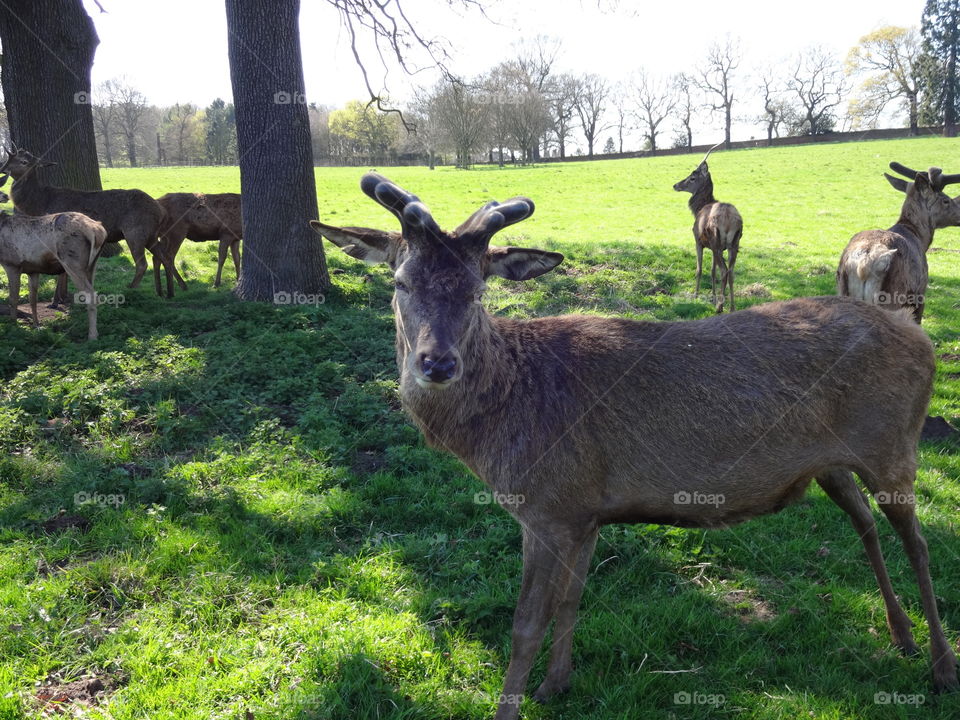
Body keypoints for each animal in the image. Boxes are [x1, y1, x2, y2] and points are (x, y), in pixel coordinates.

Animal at [0, 146, 174, 298]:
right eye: (9, 159)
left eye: (24, 161)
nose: (3, 169)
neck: (40, 204)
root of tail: (162, 211)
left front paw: (58, 299)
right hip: (151, 235)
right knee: (165, 258)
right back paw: (168, 293)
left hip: (135, 232)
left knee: (142, 263)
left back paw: (130, 289)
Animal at [0, 211, 106, 340]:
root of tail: (99, 231)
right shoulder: (33, 271)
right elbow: (32, 299)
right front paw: (37, 325)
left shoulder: (12, 264)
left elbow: (13, 299)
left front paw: (14, 325)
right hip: (92, 265)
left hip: (72, 262)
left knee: (91, 296)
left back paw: (92, 336)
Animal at [672, 143, 748, 312]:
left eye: (692, 177)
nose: (675, 185)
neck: (698, 208)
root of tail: (730, 220)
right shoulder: (712, 248)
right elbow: (712, 271)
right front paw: (712, 297)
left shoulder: (698, 241)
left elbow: (699, 269)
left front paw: (696, 295)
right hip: (734, 244)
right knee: (731, 272)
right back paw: (731, 307)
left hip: (717, 241)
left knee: (724, 270)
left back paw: (720, 307)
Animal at [832, 163, 960, 324]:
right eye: (946, 200)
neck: (919, 237)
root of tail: (863, 265)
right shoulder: (920, 292)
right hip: (892, 296)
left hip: (842, 288)